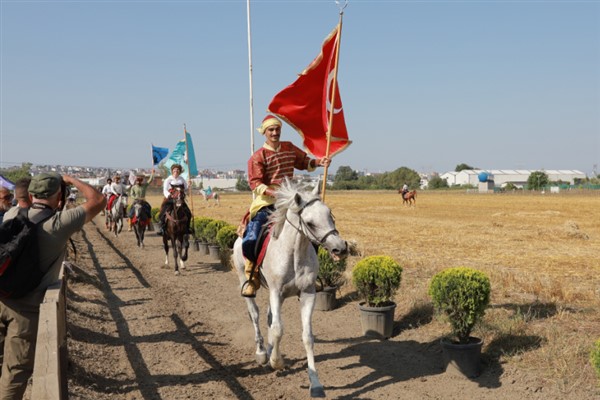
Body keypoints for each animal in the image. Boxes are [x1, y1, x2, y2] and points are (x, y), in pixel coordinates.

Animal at [232, 179, 350, 396]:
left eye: (330, 215)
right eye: (310, 223)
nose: (340, 248)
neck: (294, 254)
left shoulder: (307, 294)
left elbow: (307, 337)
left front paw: (316, 383)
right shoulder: (276, 293)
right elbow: (278, 329)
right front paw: (276, 362)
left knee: (269, 318)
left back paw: (270, 349)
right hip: (247, 283)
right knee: (255, 315)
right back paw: (262, 352)